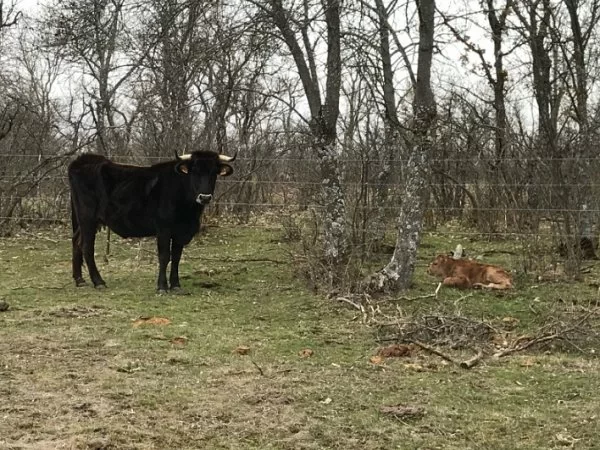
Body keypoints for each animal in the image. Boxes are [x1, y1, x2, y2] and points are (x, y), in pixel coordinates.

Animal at [69, 151, 236, 292]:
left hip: (85, 221)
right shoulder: (163, 228)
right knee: (87, 247)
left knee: (76, 241)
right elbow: (164, 256)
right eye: (194, 171)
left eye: (214, 172)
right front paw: (162, 286)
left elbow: (176, 257)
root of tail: (83, 160)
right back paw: (98, 282)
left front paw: (175, 285)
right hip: (87, 218)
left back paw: (80, 280)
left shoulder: (180, 232)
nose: (205, 197)